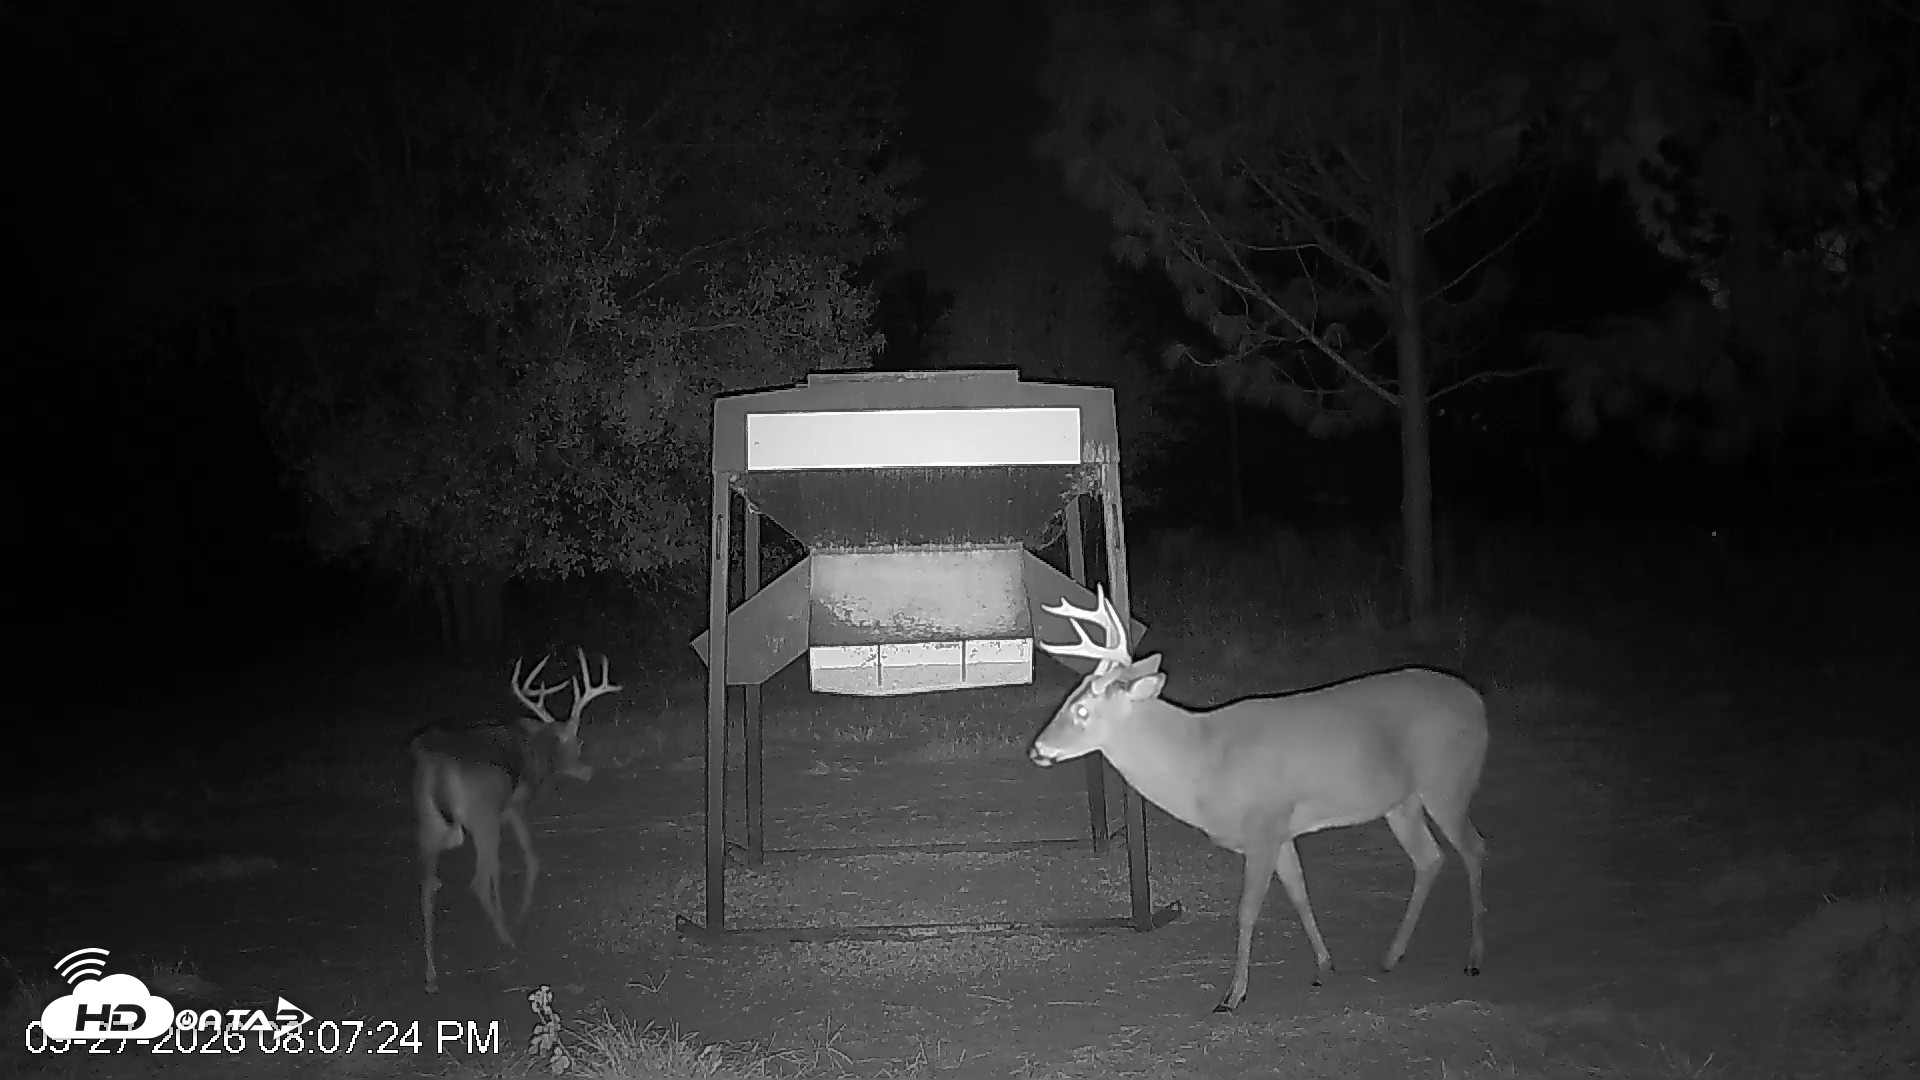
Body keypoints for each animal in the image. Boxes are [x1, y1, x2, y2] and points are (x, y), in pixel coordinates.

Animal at [410, 647, 620, 994]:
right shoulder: (514, 805)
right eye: (577, 742)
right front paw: (518, 915)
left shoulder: (503, 811)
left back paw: (431, 976)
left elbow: (499, 868)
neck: (537, 750)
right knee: (477, 879)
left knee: (427, 886)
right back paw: (507, 938)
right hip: (481, 815)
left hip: (429, 819)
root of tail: (437, 766)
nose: (588, 771)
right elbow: (529, 857)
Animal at [1030, 587, 1487, 1013]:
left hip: (1447, 780)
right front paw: (1324, 967)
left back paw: (1473, 958)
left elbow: (1247, 910)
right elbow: (1300, 892)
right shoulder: (1282, 830)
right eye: (1069, 697)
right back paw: (1391, 956)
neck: (1204, 762)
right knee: (1429, 858)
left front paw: (1232, 996)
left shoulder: (1263, 827)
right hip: (1402, 802)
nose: (1037, 748)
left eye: (1083, 711)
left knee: (1474, 847)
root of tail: (1479, 703)